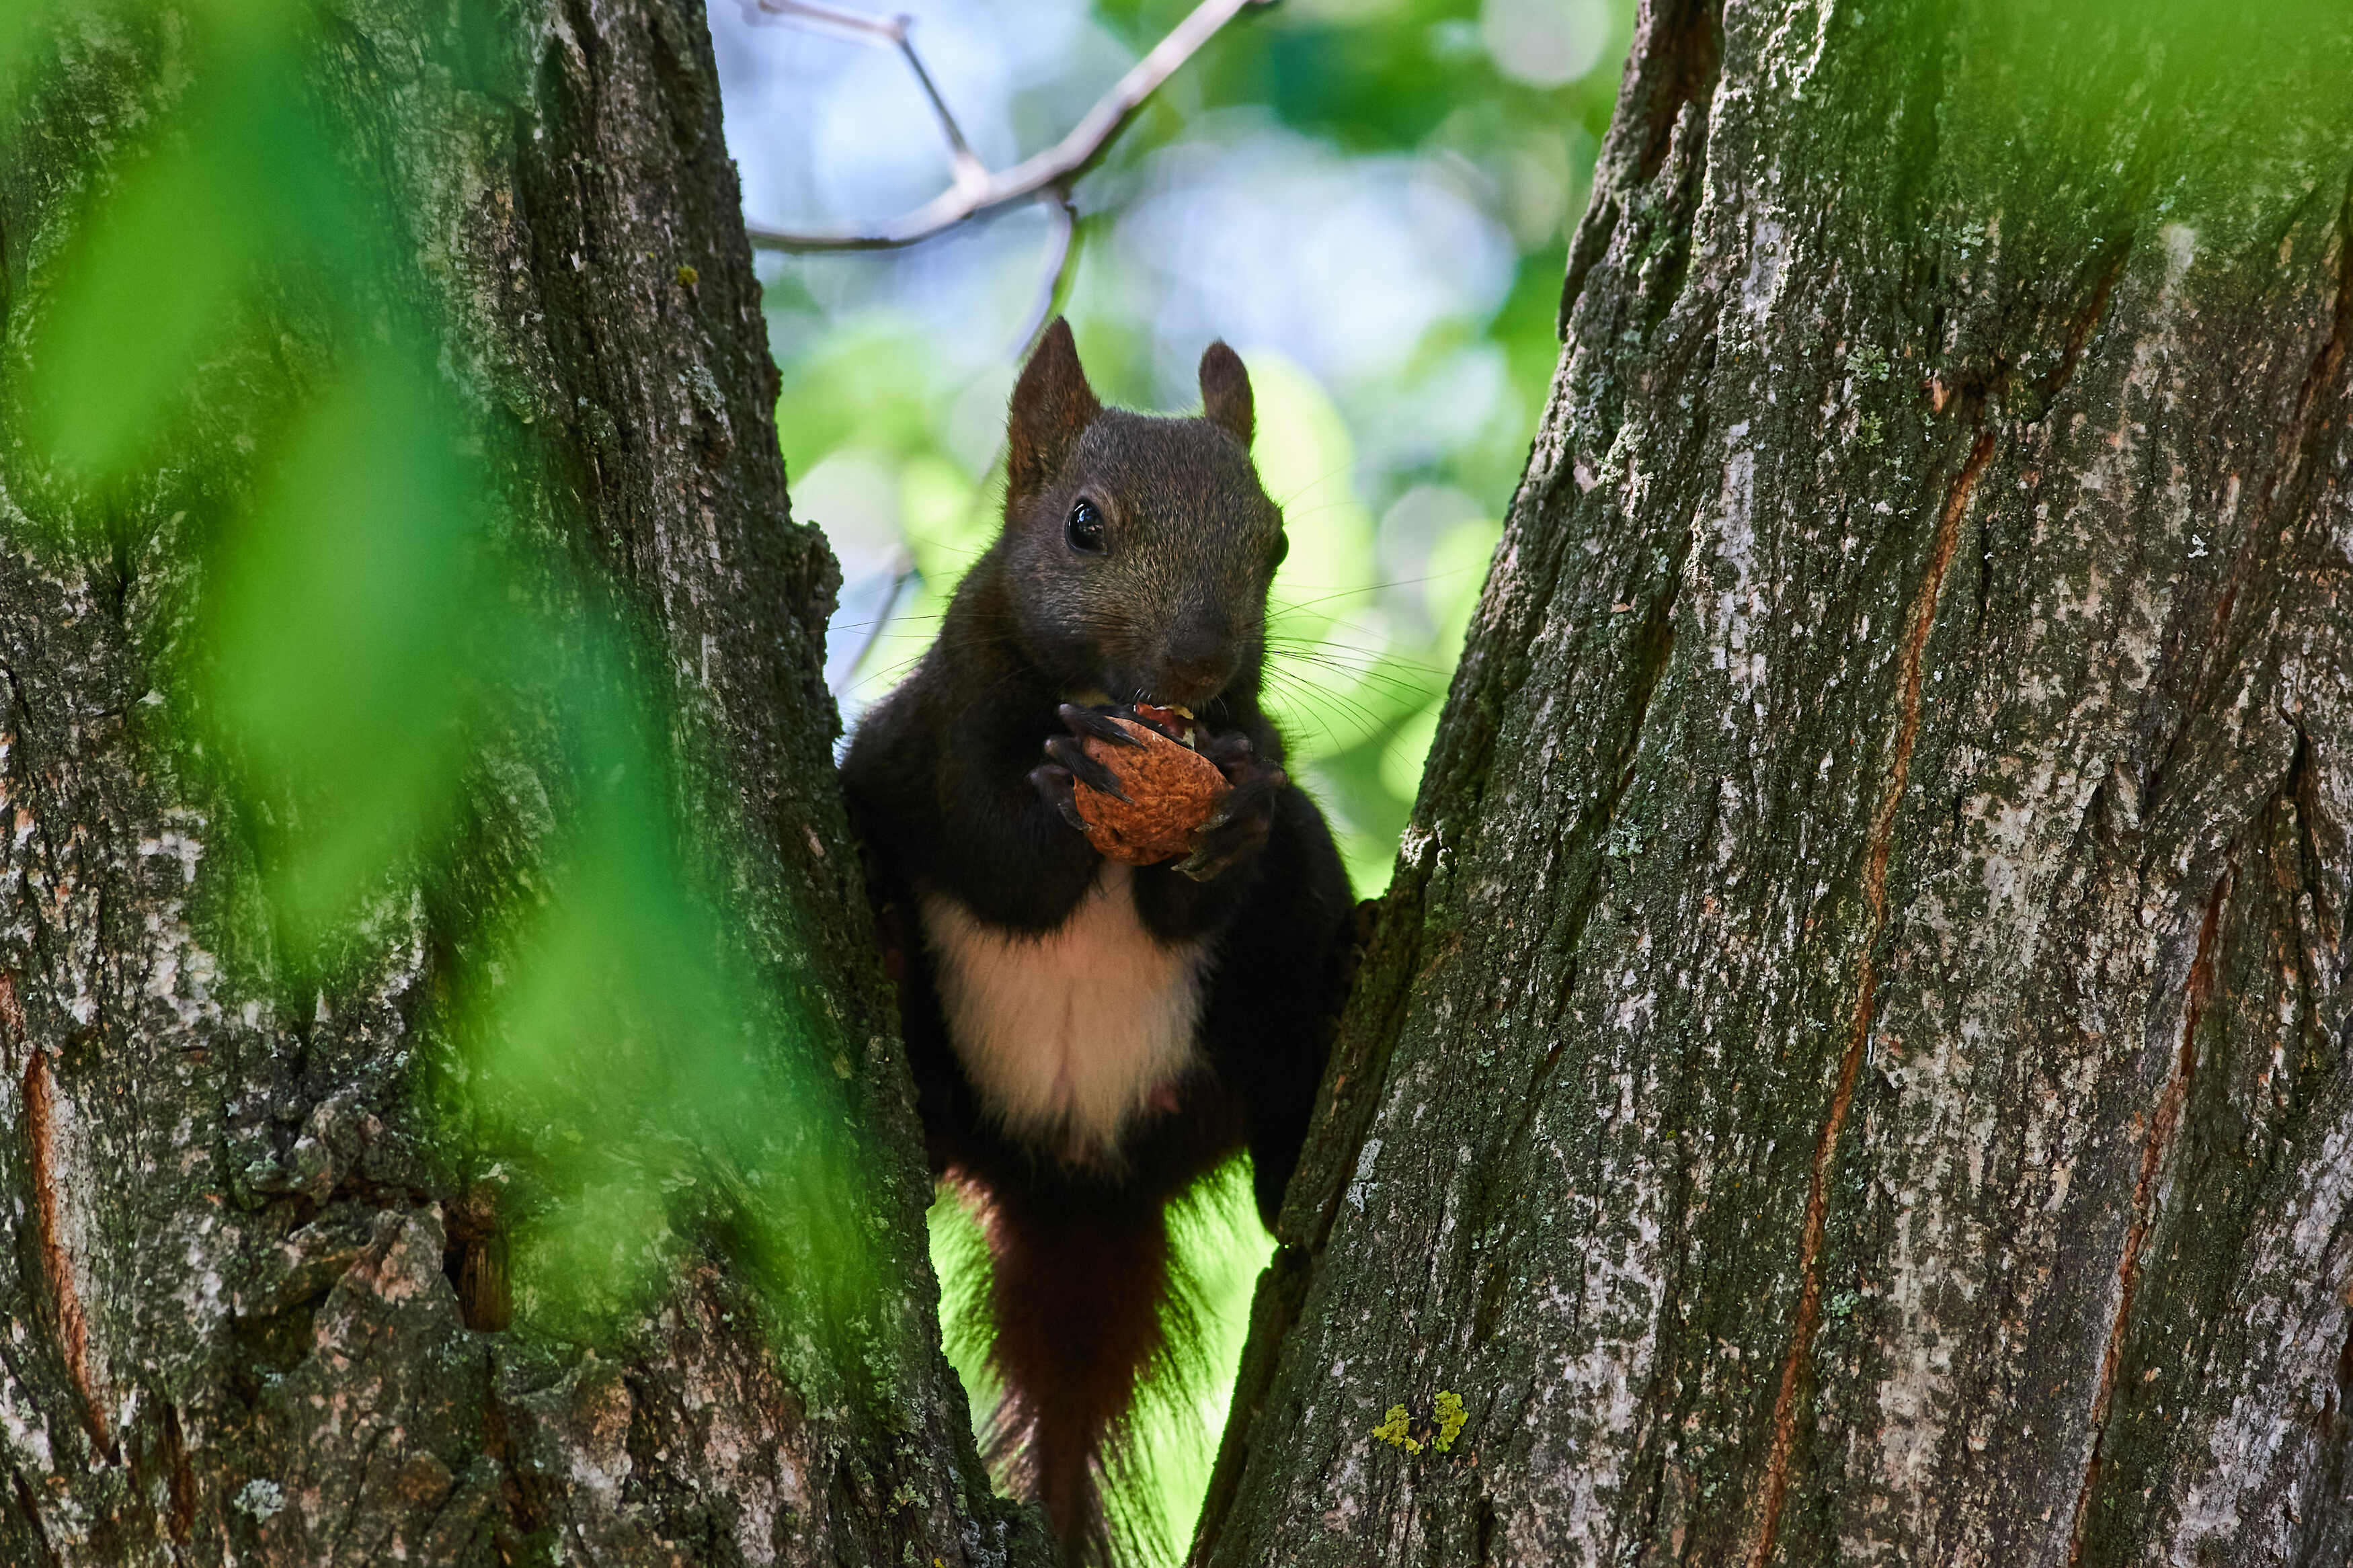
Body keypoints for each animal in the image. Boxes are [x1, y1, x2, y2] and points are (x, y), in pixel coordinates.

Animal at [842, 315, 1365, 1561]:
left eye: (1277, 541)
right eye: (1084, 524)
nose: (1203, 661)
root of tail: (1079, 1187)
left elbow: (1209, 875)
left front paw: (1232, 808)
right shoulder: (940, 731)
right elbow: (1000, 861)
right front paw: (1067, 788)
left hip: (1244, 1033)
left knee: (1278, 1154)